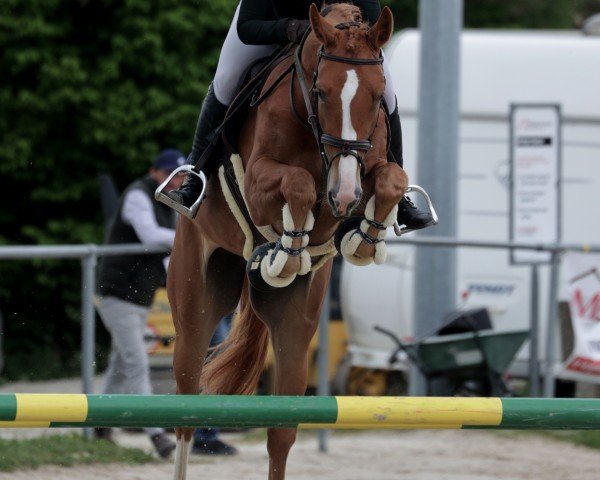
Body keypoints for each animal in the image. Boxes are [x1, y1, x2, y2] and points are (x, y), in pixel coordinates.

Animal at [166, 3, 406, 480]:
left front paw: (364, 239)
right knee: (185, 412)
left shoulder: (363, 169)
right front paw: (289, 248)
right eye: (321, 92)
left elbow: (391, 178)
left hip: (295, 328)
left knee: (281, 433)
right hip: (195, 308)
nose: (345, 194)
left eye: (377, 97)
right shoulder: (259, 181)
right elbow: (297, 183)